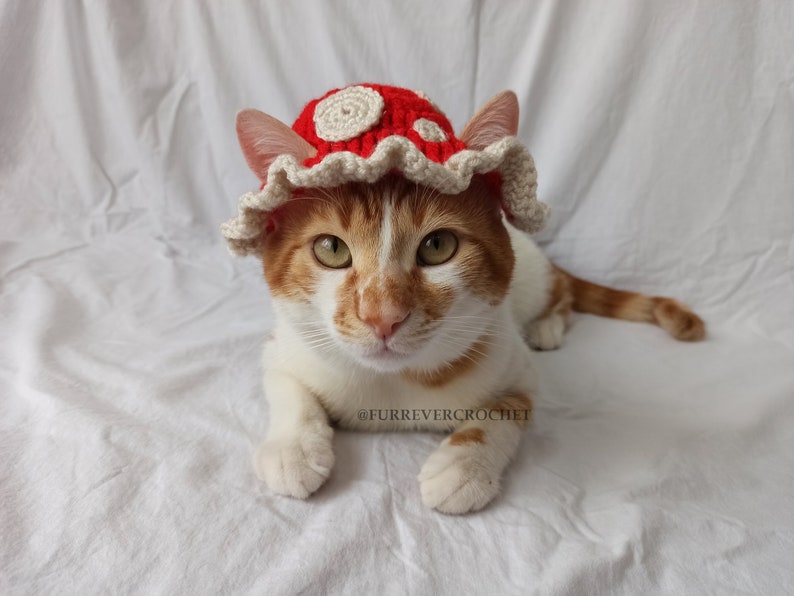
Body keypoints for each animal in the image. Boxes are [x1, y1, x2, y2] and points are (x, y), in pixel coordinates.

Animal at [230, 88, 704, 512]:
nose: (383, 317)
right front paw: (293, 450)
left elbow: (506, 412)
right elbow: (288, 391)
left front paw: (462, 468)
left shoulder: (518, 369)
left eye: (438, 246)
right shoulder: (283, 348)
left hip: (535, 283)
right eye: (331, 249)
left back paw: (547, 325)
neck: (393, 384)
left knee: (564, 294)